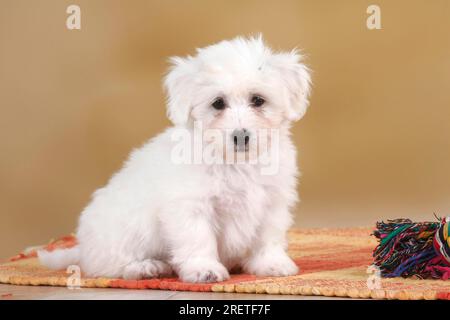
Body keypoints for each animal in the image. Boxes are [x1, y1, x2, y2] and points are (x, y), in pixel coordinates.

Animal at [37, 35, 312, 282]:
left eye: (258, 100)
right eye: (218, 103)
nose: (241, 136)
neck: (236, 162)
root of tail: (83, 249)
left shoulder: (273, 203)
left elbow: (268, 237)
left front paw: (271, 263)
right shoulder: (190, 206)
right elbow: (198, 238)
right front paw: (204, 269)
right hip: (122, 232)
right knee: (109, 265)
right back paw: (145, 267)